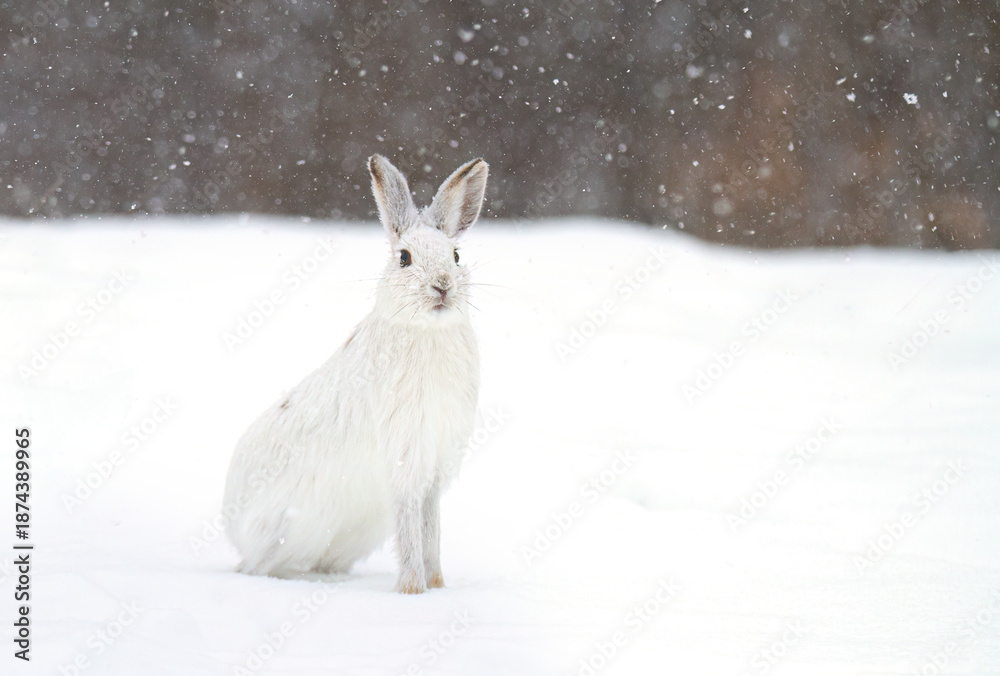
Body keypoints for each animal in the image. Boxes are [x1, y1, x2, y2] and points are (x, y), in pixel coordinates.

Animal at [223, 155, 487, 594]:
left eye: (456, 256)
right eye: (404, 257)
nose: (443, 286)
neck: (427, 331)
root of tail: (233, 529)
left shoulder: (435, 462)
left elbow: (430, 524)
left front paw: (436, 585)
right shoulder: (405, 453)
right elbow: (409, 523)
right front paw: (412, 590)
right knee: (259, 567)